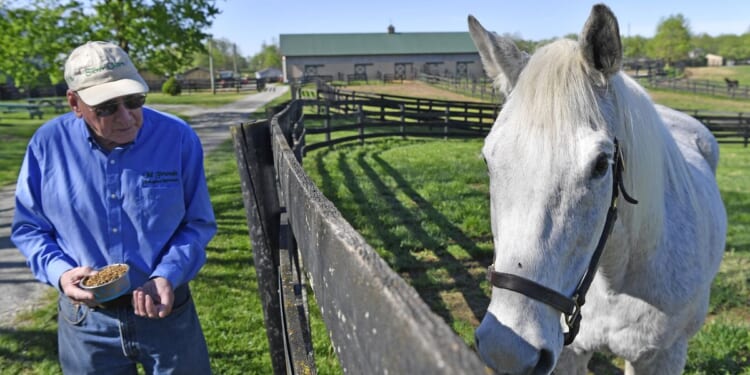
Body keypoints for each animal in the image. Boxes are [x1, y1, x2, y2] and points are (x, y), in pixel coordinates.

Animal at [470, 3, 728, 375]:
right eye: (488, 160)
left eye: (601, 165)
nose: (507, 351)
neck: (613, 281)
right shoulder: (569, 354)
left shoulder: (662, 357)